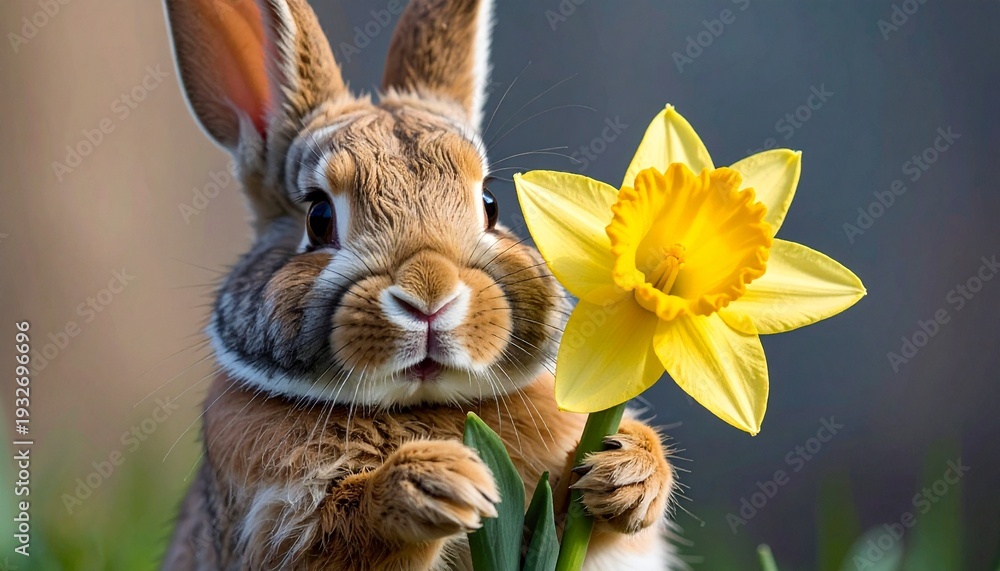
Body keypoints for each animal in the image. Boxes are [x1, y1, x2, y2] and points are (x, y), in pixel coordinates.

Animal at [160, 0, 679, 569]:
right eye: (319, 217)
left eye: (490, 205)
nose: (431, 298)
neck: (417, 405)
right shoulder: (271, 527)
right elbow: (342, 533)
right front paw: (438, 483)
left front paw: (628, 473)